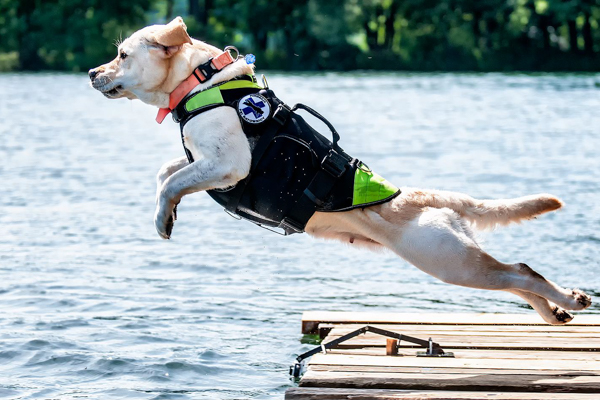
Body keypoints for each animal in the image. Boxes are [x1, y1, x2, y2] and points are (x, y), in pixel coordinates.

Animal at [90, 18, 592, 324]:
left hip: (447, 260)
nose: (93, 73)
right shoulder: (205, 161)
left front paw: (162, 218)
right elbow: (167, 172)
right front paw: (168, 213)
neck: (201, 83)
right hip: (458, 261)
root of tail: (422, 196)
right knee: (515, 276)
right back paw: (555, 312)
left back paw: (569, 299)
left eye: (122, 55)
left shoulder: (230, 163)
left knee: (520, 272)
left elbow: (173, 179)